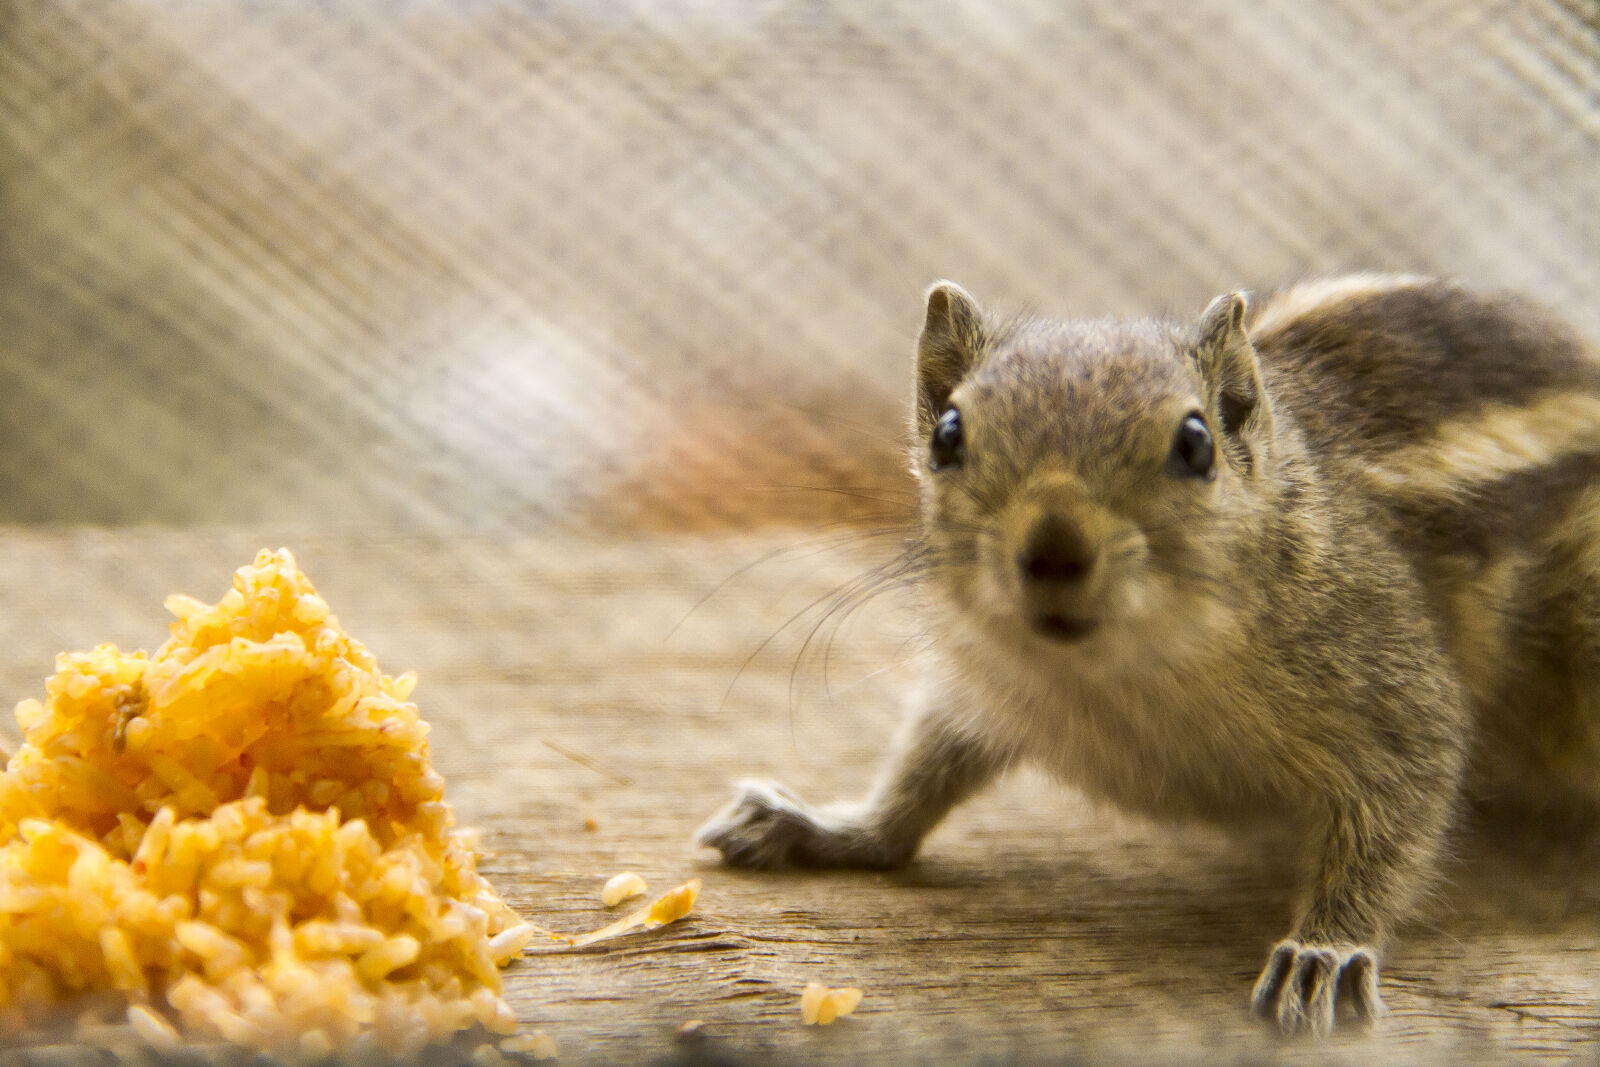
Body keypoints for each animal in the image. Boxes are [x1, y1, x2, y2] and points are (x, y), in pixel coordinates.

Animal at [694, 273, 1600, 1036]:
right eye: (948, 432)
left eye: (1196, 442)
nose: (1054, 551)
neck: (1125, 671)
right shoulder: (983, 685)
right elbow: (921, 776)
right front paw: (824, 825)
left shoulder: (1391, 687)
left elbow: (1394, 812)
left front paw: (1326, 948)